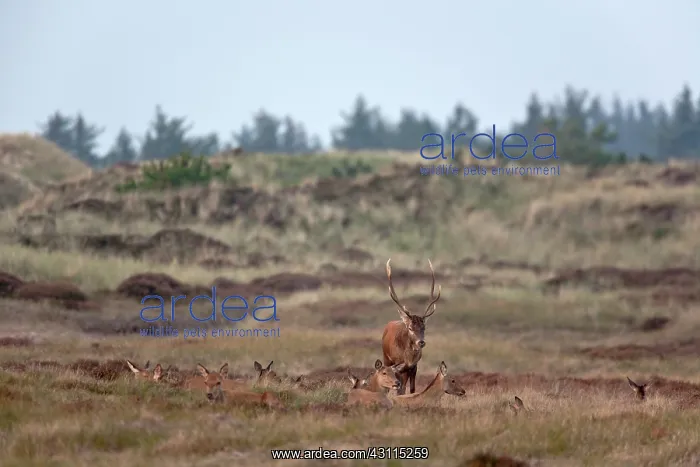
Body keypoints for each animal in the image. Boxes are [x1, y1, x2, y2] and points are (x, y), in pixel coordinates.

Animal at [382, 258, 442, 395]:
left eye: (424, 327)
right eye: (410, 328)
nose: (421, 342)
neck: (408, 358)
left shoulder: (414, 367)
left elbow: (412, 389)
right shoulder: (398, 366)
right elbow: (399, 389)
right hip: (386, 359)